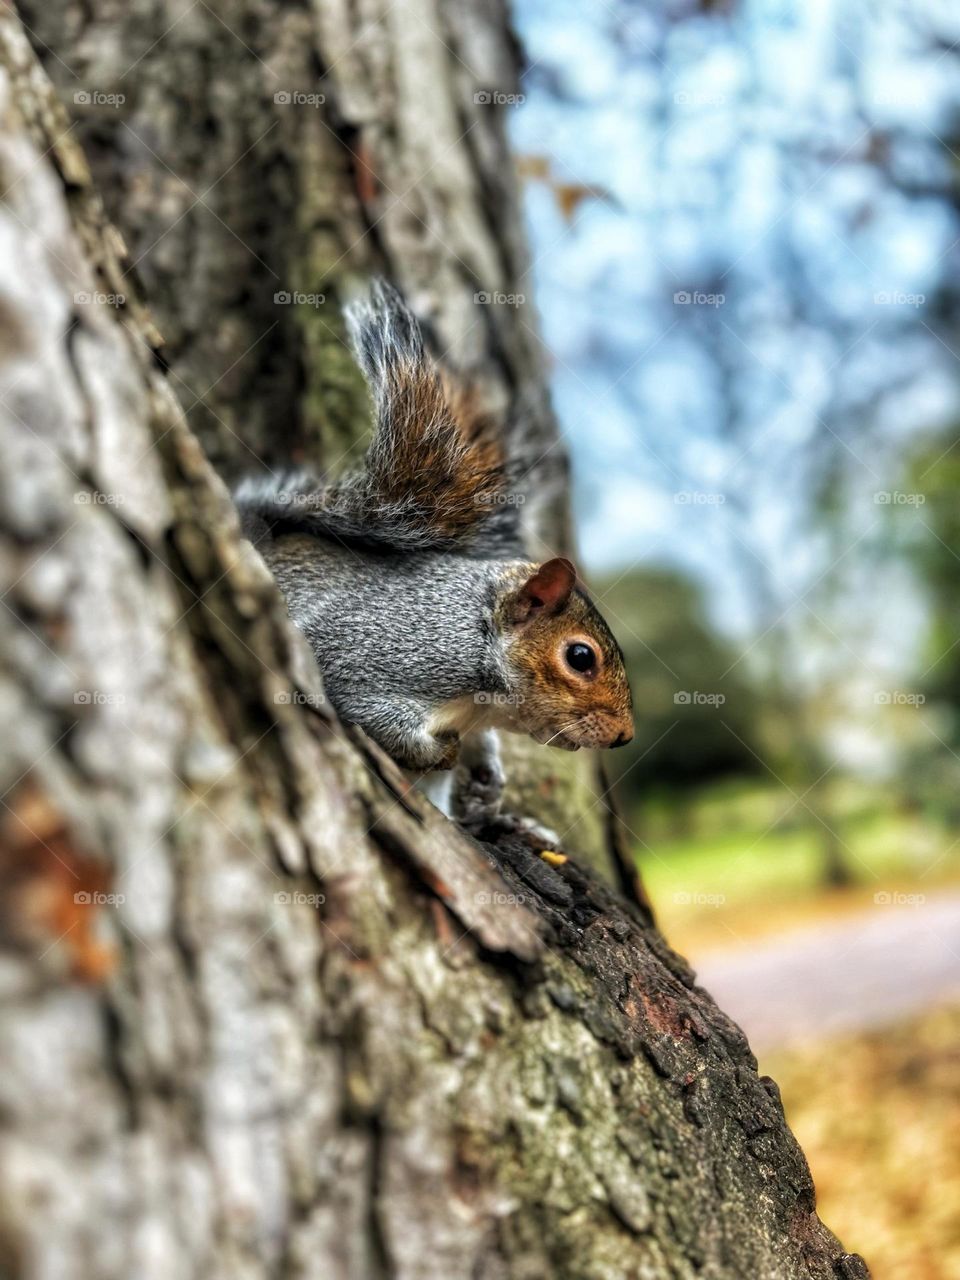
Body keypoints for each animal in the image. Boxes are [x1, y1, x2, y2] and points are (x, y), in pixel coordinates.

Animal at [235, 280, 633, 824]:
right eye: (580, 657)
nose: (625, 736)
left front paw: (487, 773)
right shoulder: (379, 655)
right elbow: (367, 708)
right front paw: (440, 753)